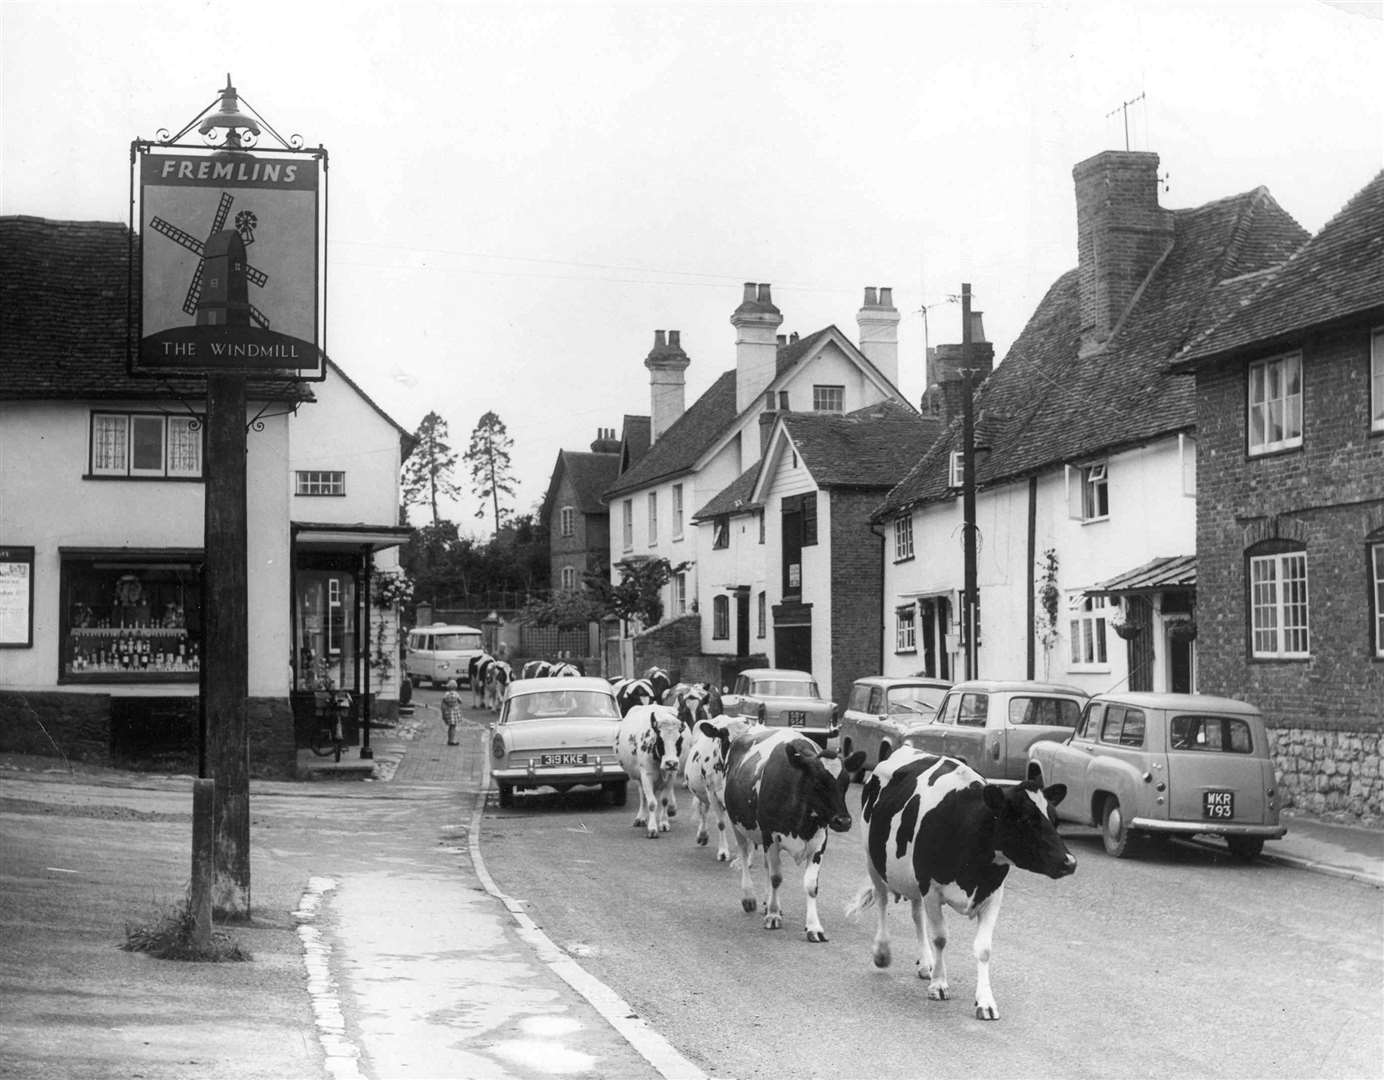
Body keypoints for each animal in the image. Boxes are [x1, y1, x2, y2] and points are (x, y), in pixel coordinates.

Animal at [617, 703, 686, 841]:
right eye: (660, 739)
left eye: (679, 740)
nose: (671, 763)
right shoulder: (646, 775)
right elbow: (652, 803)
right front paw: (652, 828)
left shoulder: (671, 775)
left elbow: (664, 800)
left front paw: (664, 823)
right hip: (639, 778)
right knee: (643, 796)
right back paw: (641, 818)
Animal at [719, 725, 858, 947]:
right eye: (818, 783)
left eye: (845, 783)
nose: (843, 821)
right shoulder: (770, 836)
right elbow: (776, 877)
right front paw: (773, 915)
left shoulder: (819, 842)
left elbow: (811, 886)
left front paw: (814, 927)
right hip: (737, 824)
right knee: (744, 854)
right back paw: (749, 898)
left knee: (766, 866)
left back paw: (768, 902)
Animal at [841, 747, 1079, 1024]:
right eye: (1024, 819)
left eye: (1054, 819)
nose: (1070, 862)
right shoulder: (932, 889)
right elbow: (941, 938)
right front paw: (939, 985)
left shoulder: (992, 894)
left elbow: (984, 949)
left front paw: (985, 1001)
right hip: (873, 859)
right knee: (882, 900)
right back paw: (882, 952)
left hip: (912, 878)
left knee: (916, 915)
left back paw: (926, 963)